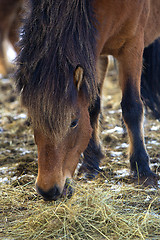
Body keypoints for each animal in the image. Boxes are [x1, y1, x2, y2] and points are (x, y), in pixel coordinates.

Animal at [16, 0, 160, 201]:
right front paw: (91, 163)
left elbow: (132, 107)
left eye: (73, 122)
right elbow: (93, 106)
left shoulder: (132, 47)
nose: (48, 191)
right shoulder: (94, 52)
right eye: (30, 122)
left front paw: (142, 170)